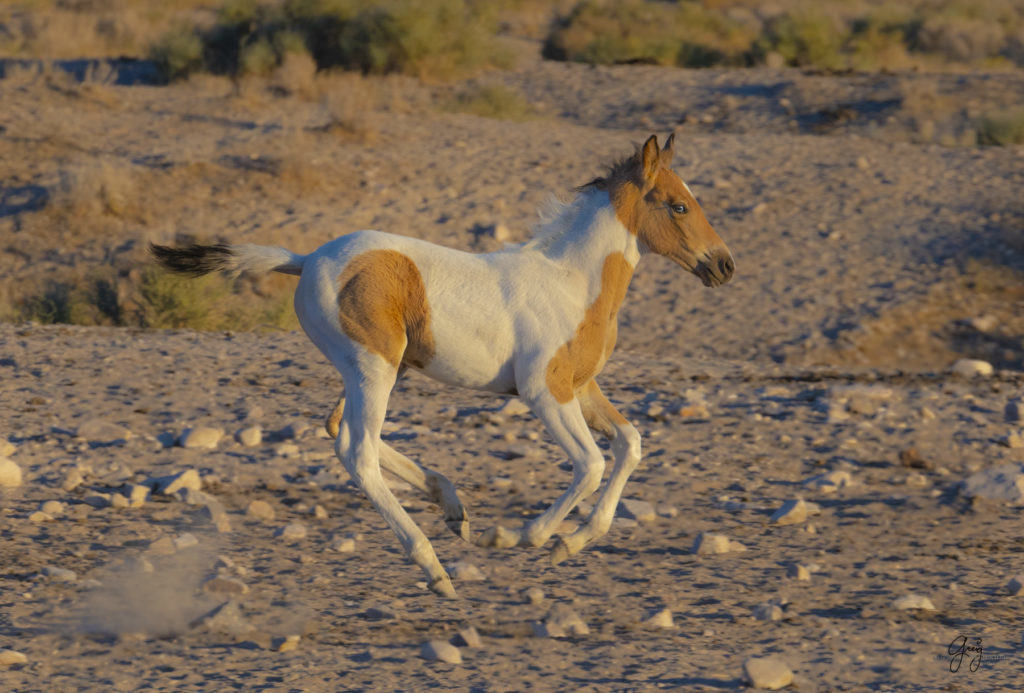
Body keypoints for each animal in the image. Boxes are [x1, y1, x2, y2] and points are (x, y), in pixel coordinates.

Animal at [148, 134, 733, 593]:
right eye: (679, 206)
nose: (725, 265)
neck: (572, 282)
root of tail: (306, 259)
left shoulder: (582, 386)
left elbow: (630, 444)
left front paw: (573, 542)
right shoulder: (544, 391)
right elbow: (590, 464)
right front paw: (522, 536)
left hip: (379, 368)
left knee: (339, 431)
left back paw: (451, 505)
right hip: (374, 367)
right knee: (357, 450)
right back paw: (434, 567)